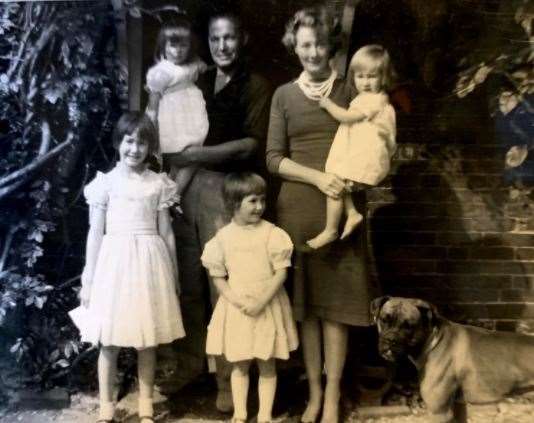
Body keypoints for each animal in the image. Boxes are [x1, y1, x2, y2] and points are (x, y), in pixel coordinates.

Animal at [372, 296, 534, 422]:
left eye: (408, 326)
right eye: (384, 320)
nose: (390, 340)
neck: (432, 340)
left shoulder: (439, 412)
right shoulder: (459, 407)